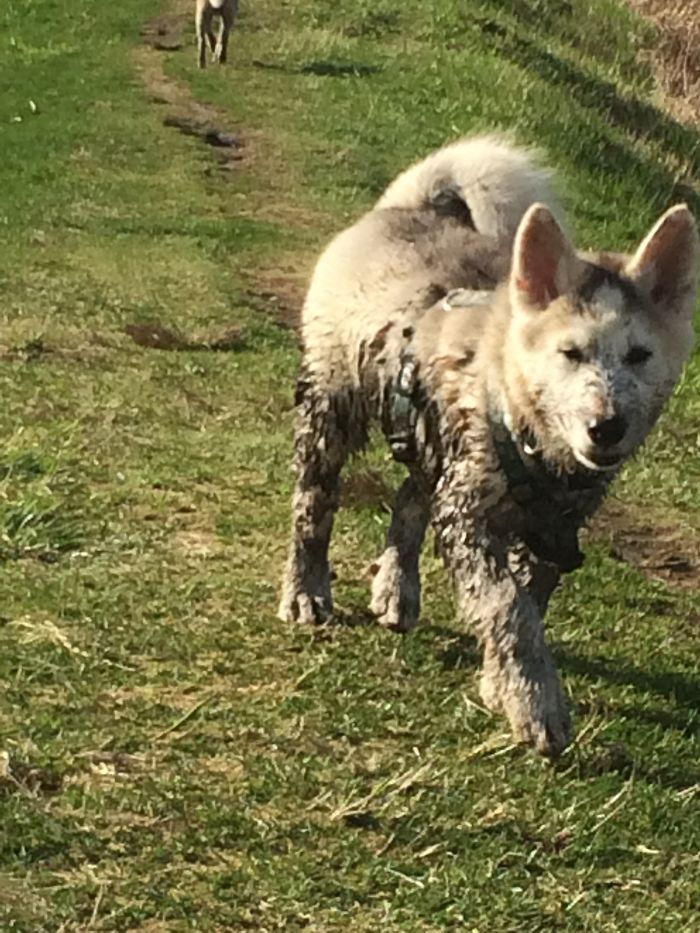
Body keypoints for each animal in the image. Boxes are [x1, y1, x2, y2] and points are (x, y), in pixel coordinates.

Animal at [278, 137, 696, 756]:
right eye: (570, 353)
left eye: (640, 355)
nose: (607, 427)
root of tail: (408, 208)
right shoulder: (469, 519)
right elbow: (508, 607)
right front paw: (535, 703)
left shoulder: (550, 535)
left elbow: (528, 605)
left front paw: (502, 681)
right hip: (332, 405)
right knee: (314, 503)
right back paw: (306, 589)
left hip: (430, 440)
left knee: (409, 500)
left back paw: (397, 587)